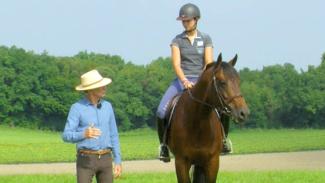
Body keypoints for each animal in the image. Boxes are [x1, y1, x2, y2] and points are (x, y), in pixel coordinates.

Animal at [167, 53, 248, 182]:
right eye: (222, 82)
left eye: (238, 81)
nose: (243, 113)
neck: (198, 121)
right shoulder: (181, 162)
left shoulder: (212, 162)